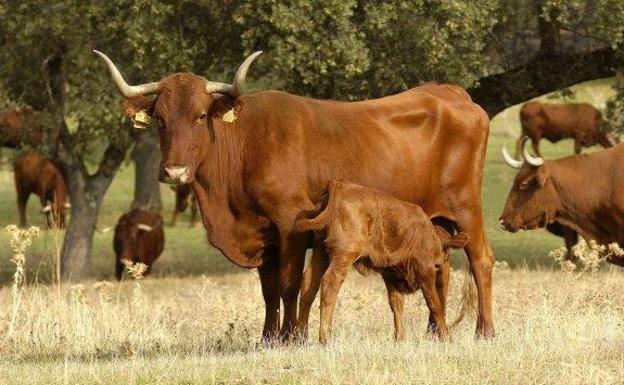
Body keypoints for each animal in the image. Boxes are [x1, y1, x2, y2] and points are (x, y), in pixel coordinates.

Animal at [294, 180, 468, 342]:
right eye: (441, 259)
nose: (441, 263)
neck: (429, 235)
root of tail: (339, 185)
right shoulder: (426, 272)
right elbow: (435, 304)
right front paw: (446, 338)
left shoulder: (391, 274)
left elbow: (397, 304)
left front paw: (400, 338)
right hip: (343, 256)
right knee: (329, 284)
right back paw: (325, 338)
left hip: (320, 252)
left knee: (309, 284)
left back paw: (302, 338)